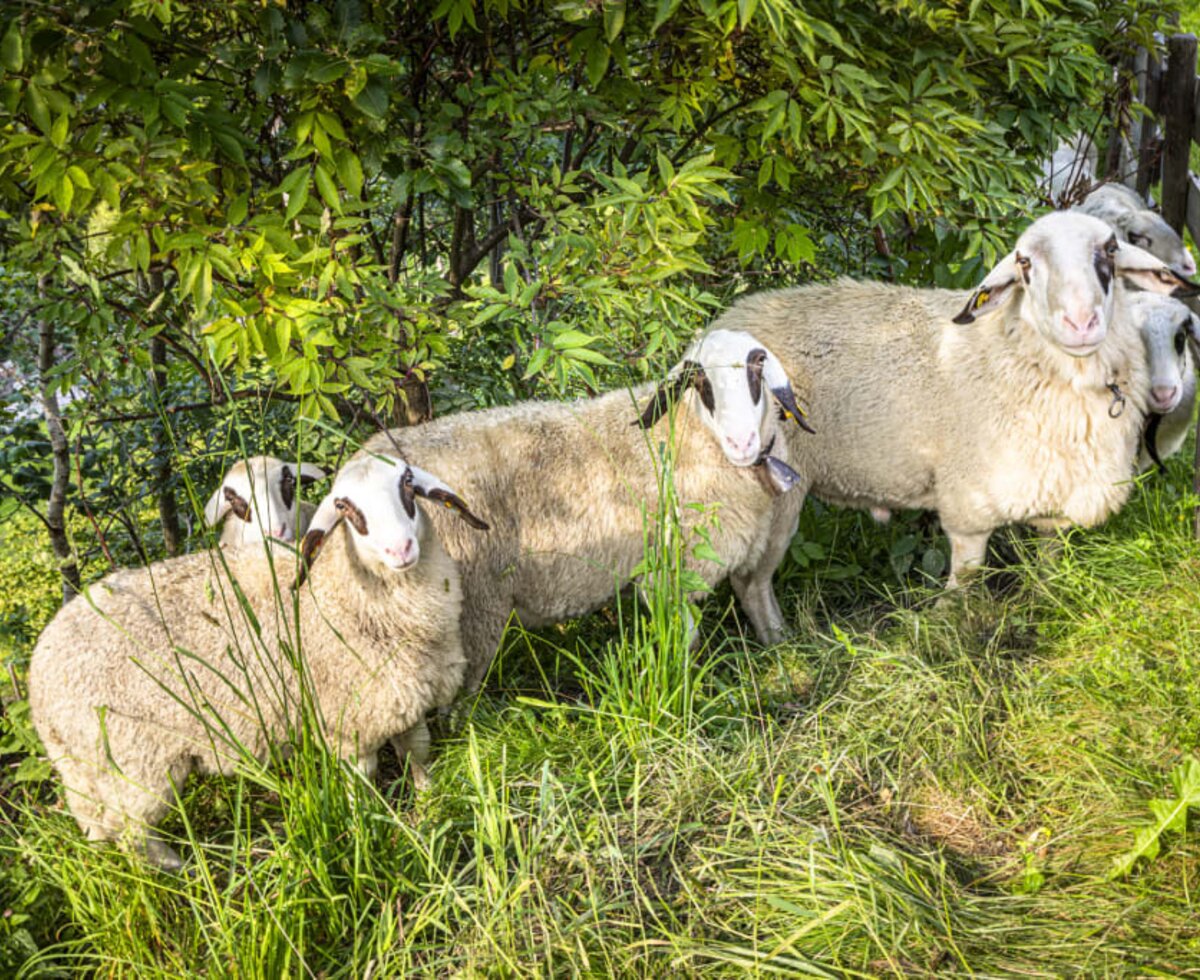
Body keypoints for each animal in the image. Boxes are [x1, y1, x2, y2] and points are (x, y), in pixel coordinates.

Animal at [28, 455, 487, 868]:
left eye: (407, 482)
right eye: (343, 506)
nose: (400, 548)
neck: (340, 592)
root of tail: (39, 672)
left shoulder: (403, 697)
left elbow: (418, 753)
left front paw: (430, 801)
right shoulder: (350, 722)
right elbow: (361, 785)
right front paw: (367, 829)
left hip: (89, 770)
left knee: (104, 827)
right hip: (136, 763)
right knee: (135, 836)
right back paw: (183, 869)